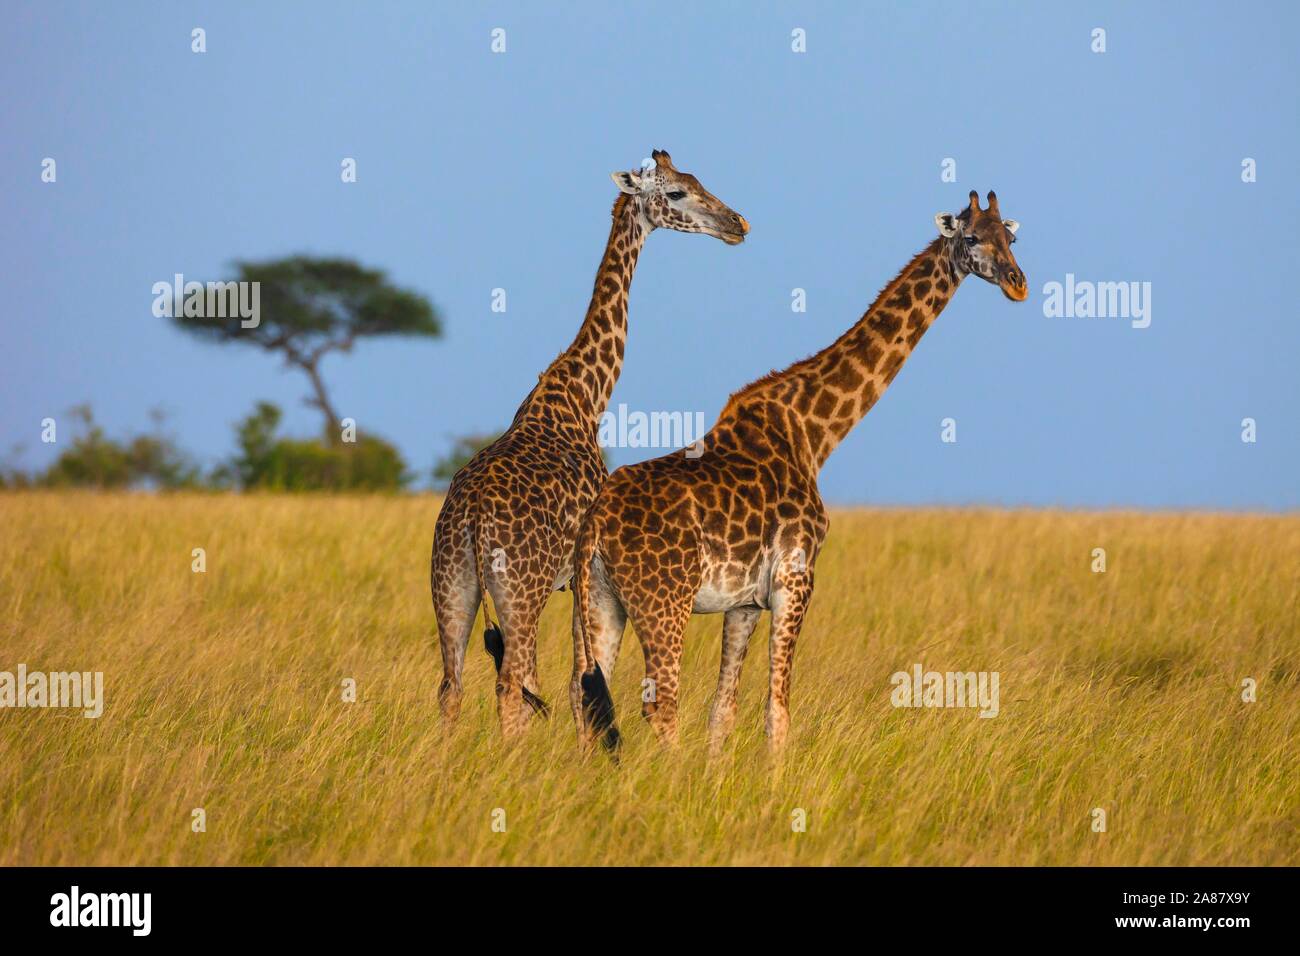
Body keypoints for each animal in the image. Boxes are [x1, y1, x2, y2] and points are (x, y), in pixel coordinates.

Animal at [432, 150, 749, 738]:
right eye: (675, 192)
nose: (737, 224)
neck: (584, 393)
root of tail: (474, 518)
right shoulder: (579, 577)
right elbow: (581, 684)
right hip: (520, 589)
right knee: (509, 686)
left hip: (453, 583)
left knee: (452, 686)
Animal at [573, 190, 1026, 754]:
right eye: (972, 237)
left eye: (1011, 239)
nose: (1018, 283)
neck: (813, 433)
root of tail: (595, 525)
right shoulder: (796, 580)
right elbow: (778, 713)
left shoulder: (744, 602)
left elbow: (723, 710)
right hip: (664, 602)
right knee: (661, 704)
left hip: (600, 601)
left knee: (587, 698)